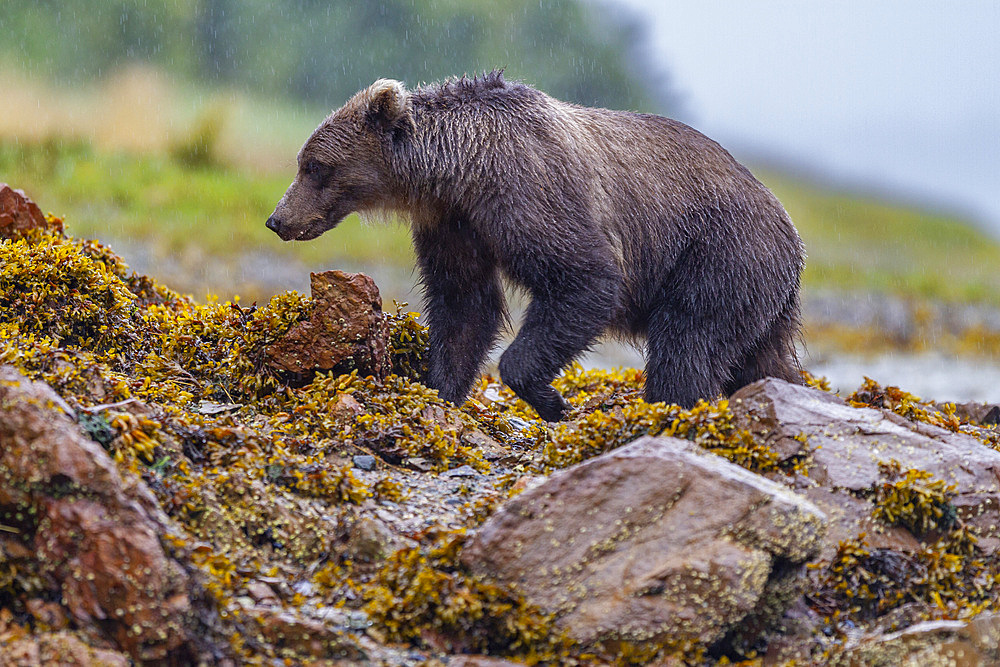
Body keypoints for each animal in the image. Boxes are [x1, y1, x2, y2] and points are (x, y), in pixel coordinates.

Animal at [266, 70, 804, 420]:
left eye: (314, 166)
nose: (277, 219)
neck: (459, 172)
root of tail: (790, 229)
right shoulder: (454, 223)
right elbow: (465, 304)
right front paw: (438, 387)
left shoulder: (530, 190)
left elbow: (584, 278)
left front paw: (553, 400)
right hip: (759, 295)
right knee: (759, 359)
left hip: (718, 253)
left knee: (687, 343)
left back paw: (666, 409)